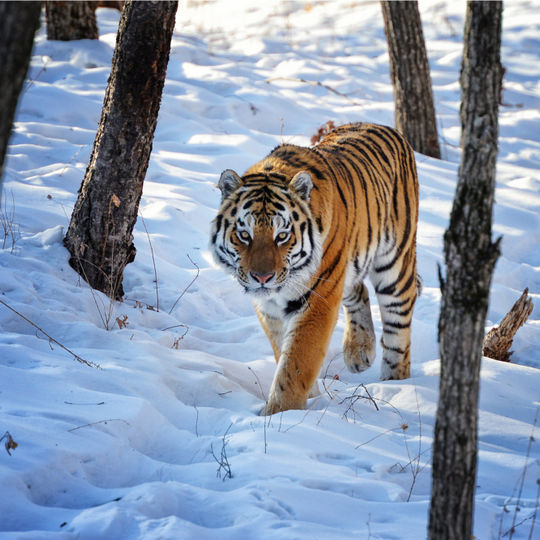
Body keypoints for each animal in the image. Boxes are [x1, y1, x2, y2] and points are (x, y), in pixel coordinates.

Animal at [209, 122, 420, 416]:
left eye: (282, 236)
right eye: (244, 235)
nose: (262, 277)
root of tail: (387, 127)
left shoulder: (318, 299)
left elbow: (297, 362)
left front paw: (278, 414)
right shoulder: (270, 307)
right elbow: (282, 351)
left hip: (394, 264)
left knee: (399, 325)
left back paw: (396, 386)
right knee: (359, 291)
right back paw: (359, 353)